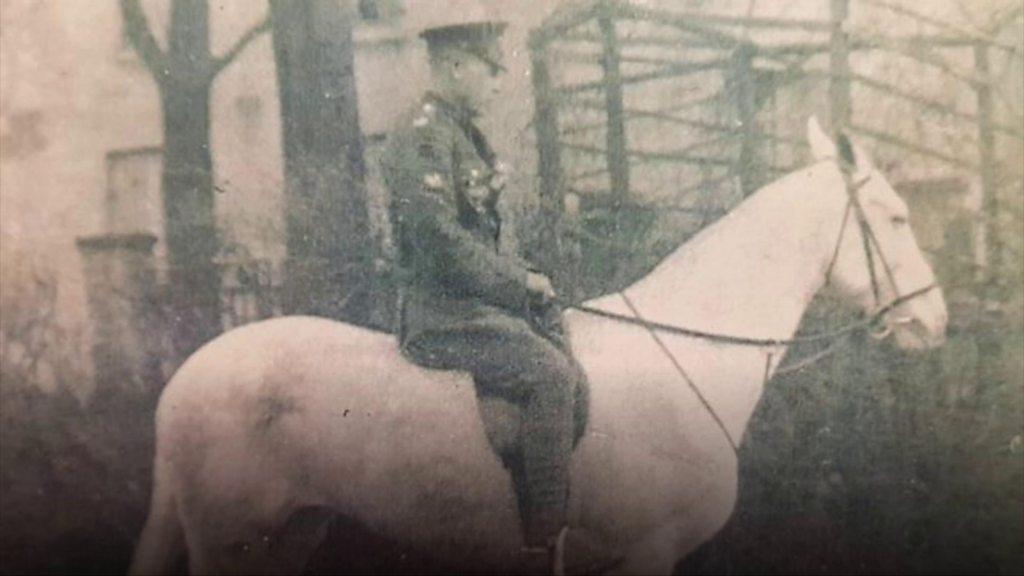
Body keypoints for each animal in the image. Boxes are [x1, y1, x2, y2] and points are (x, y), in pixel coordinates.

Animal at [132, 118, 946, 569]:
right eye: (895, 217)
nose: (935, 322)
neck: (686, 364)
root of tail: (181, 384)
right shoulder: (645, 554)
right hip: (235, 543)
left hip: (294, 533)